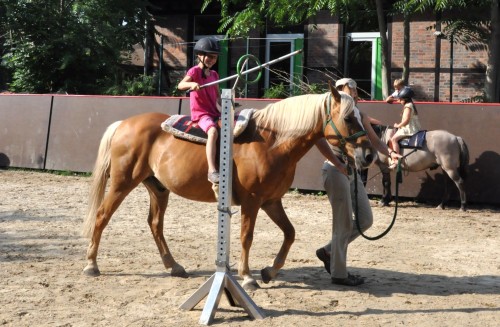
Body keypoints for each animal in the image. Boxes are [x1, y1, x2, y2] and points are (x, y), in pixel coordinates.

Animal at [82, 84, 374, 290]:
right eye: (349, 118)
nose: (369, 155)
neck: (270, 143)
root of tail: (123, 124)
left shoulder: (271, 201)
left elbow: (290, 233)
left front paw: (269, 271)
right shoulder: (252, 201)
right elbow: (247, 237)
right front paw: (247, 277)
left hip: (158, 189)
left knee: (155, 224)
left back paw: (174, 266)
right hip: (121, 183)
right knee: (102, 216)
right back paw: (91, 264)